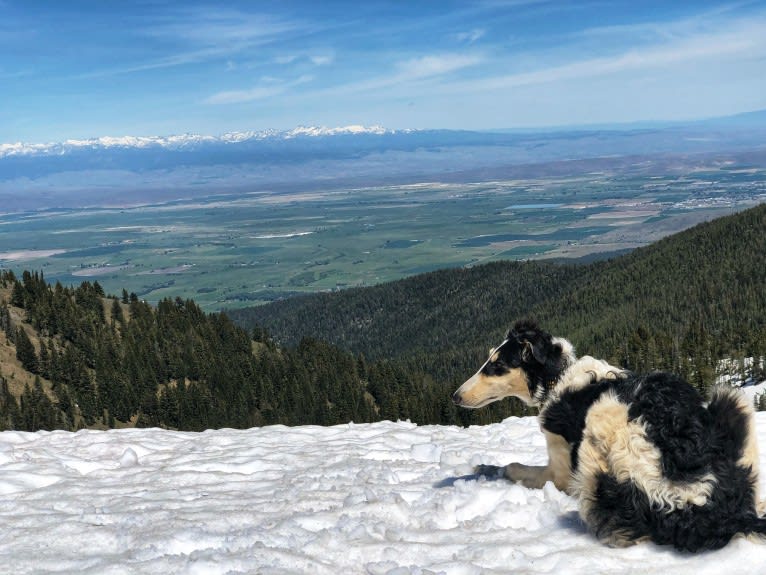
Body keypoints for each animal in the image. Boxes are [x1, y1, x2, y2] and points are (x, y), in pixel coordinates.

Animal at [452, 322, 764, 552]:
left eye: (496, 365)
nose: (455, 397)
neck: (558, 376)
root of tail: (697, 498)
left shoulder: (560, 473)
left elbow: (512, 467)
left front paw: (482, 468)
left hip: (601, 424)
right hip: (732, 402)